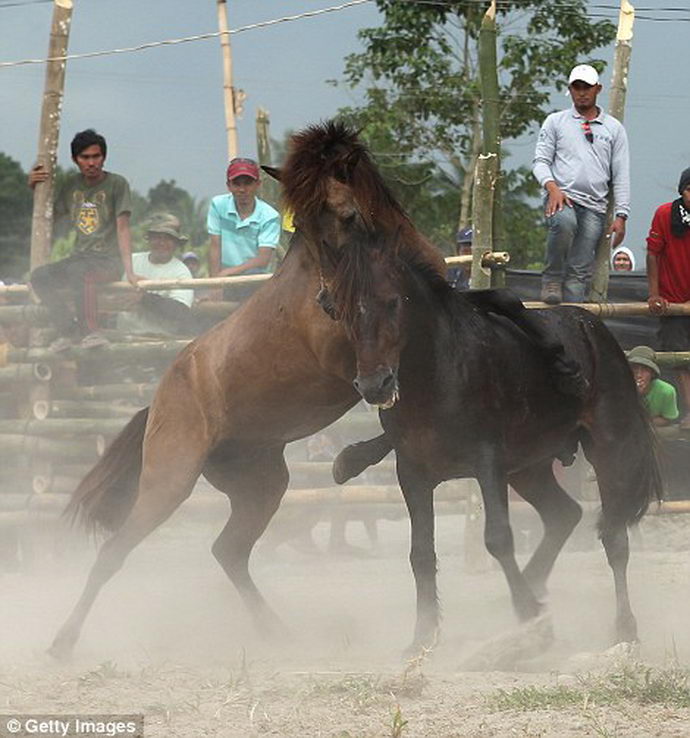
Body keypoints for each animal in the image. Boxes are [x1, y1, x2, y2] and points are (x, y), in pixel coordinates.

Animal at [49, 121, 446, 656]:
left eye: (347, 215)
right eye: (305, 229)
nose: (328, 302)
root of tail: (157, 401)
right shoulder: (350, 364)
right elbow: (384, 398)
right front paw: (350, 459)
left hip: (260, 482)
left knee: (229, 550)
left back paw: (278, 632)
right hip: (168, 481)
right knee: (116, 549)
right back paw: (62, 642)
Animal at [328, 243, 660, 648]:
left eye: (392, 302)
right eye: (345, 310)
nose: (374, 385)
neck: (436, 375)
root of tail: (594, 327)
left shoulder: (488, 463)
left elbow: (498, 538)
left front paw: (529, 613)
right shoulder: (413, 474)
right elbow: (420, 553)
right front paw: (423, 636)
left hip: (612, 449)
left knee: (613, 537)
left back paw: (624, 626)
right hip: (528, 468)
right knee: (564, 513)